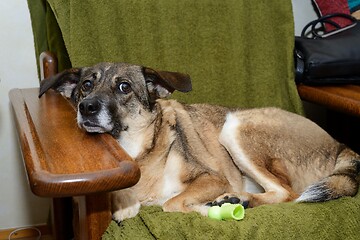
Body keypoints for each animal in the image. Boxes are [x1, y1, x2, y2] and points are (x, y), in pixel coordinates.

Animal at [38, 62, 358, 222]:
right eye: (86, 85)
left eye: (124, 87)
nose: (86, 107)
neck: (137, 154)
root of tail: (339, 145)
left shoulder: (212, 178)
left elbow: (172, 203)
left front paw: (207, 209)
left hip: (235, 127)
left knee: (287, 193)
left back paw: (240, 200)